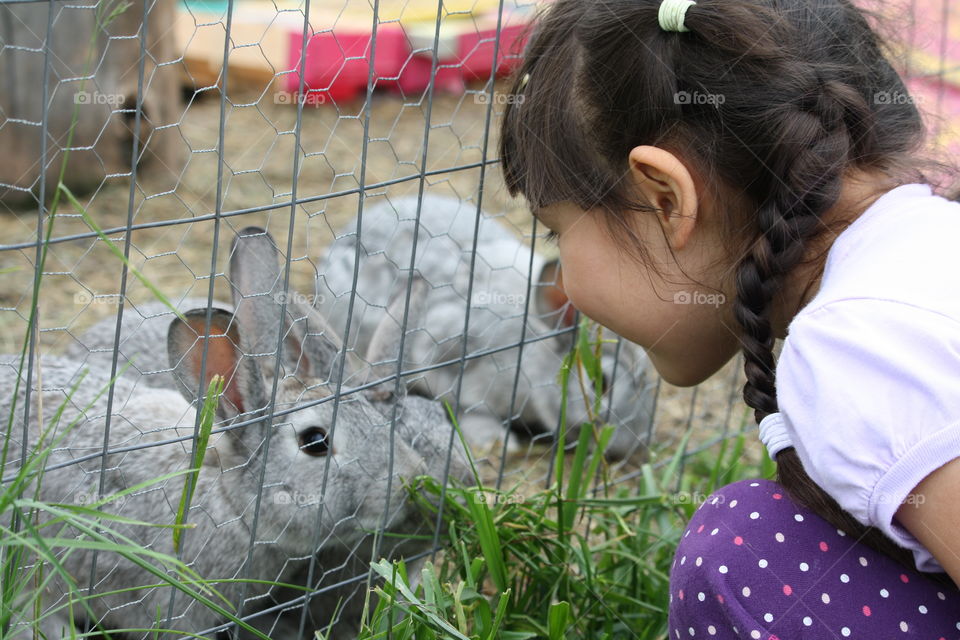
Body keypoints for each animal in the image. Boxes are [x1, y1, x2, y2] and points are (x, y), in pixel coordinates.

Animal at [316, 194, 657, 460]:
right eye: (601, 383)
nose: (628, 448)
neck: (534, 348)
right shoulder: (448, 361)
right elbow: (467, 408)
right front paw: (496, 439)